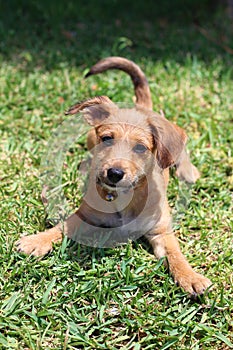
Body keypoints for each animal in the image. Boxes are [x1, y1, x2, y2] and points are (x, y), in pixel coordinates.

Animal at [16, 56, 211, 296]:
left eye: (140, 148)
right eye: (107, 138)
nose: (114, 173)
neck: (125, 197)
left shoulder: (161, 232)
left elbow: (176, 256)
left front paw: (190, 277)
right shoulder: (85, 217)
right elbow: (61, 227)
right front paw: (36, 240)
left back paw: (188, 170)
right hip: (90, 137)